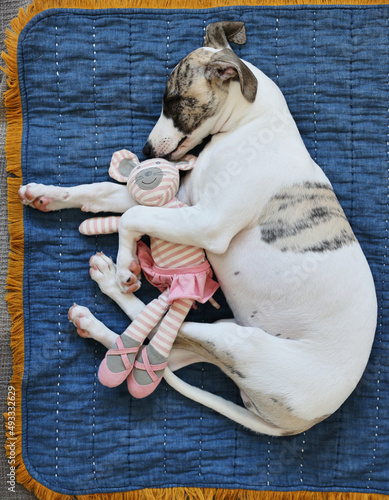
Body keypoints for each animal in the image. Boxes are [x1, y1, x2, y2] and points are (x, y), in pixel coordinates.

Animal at [18, 21, 376, 436]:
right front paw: (45, 195)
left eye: (173, 102)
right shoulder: (184, 203)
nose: (146, 151)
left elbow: (131, 216)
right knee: (160, 354)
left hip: (235, 341)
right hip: (224, 335)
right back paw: (93, 319)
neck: (250, 127)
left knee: (159, 329)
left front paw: (126, 265)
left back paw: (107, 286)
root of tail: (298, 422)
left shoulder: (207, 223)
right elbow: (103, 192)